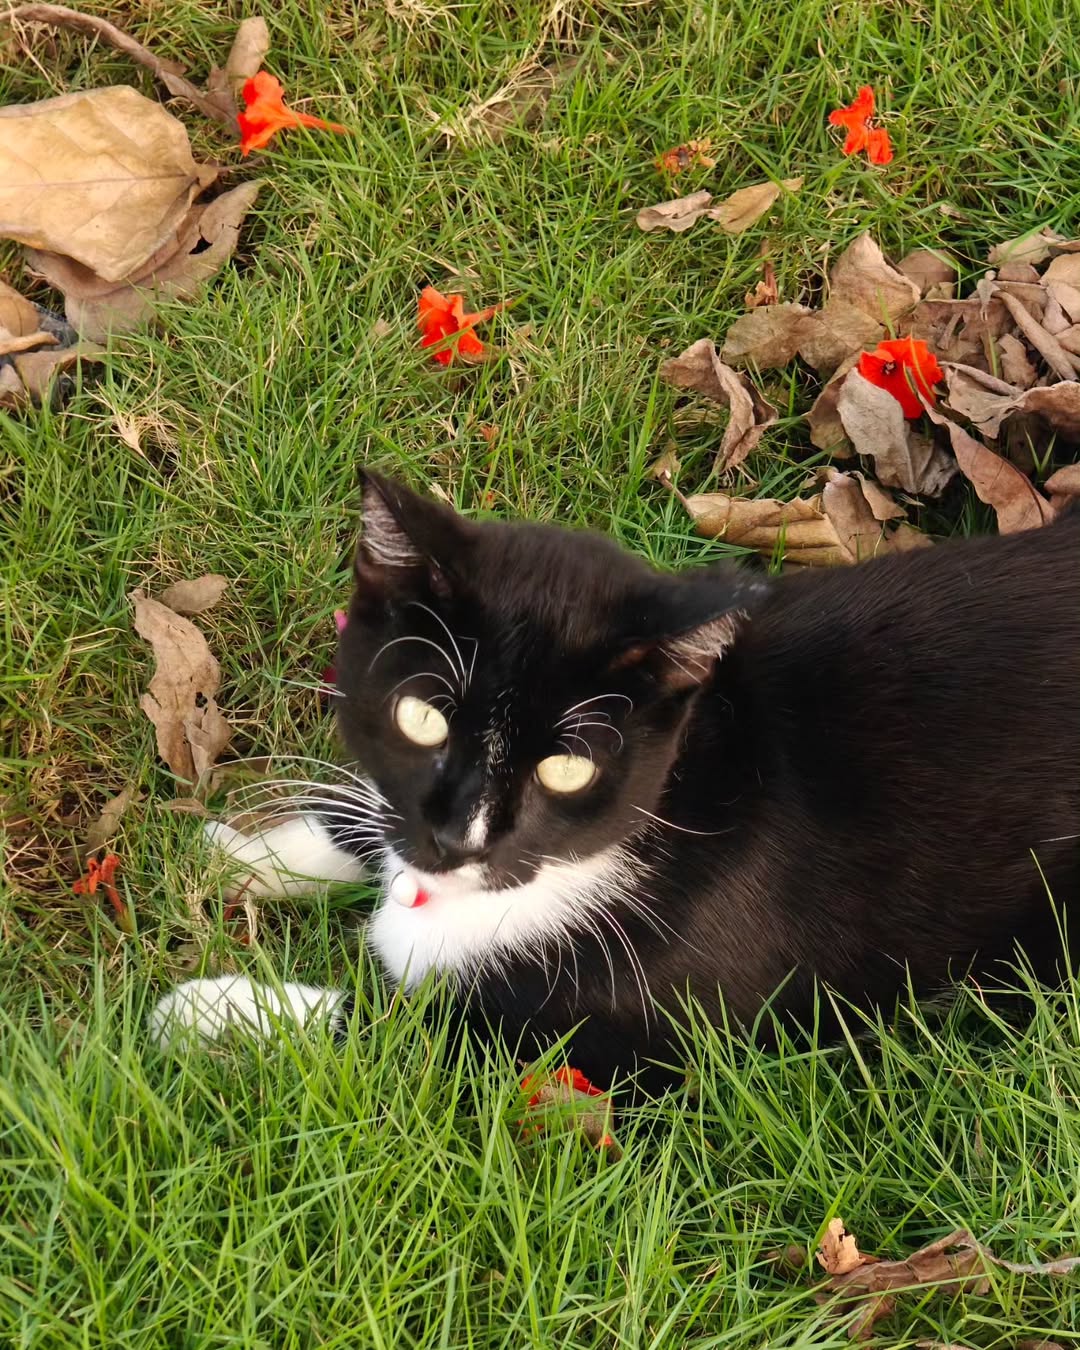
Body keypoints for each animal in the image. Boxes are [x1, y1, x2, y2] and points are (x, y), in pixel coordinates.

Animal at [151, 472, 1080, 1091]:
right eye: (422, 717)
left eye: (567, 767)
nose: (455, 840)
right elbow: (374, 822)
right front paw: (238, 854)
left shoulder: (638, 1036)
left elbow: (416, 1035)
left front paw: (214, 1011)